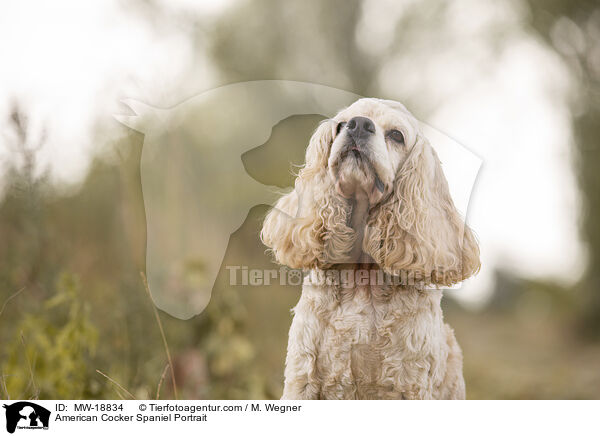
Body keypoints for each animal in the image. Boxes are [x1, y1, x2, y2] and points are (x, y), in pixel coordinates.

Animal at [260, 98, 480, 398]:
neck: (362, 280)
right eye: (341, 124)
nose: (358, 125)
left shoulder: (410, 384)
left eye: (397, 135)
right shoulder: (302, 376)